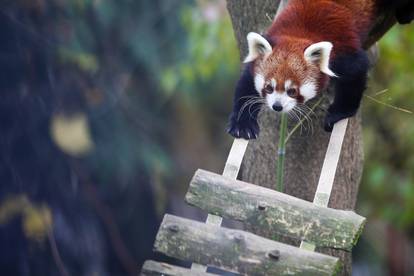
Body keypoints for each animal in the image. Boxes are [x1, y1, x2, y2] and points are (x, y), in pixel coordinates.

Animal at [230, 0, 414, 138]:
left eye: (292, 91)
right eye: (269, 87)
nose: (277, 106)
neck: (297, 34)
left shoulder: (341, 52)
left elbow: (356, 74)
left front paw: (337, 114)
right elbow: (246, 85)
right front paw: (243, 124)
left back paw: (405, 13)